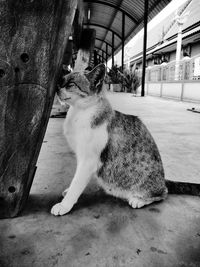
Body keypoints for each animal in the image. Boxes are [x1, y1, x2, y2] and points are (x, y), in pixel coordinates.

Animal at [50, 63, 200, 217]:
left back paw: (139, 200)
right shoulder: (81, 156)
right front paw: (68, 192)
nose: (57, 88)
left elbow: (77, 183)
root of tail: (163, 179)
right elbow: (75, 181)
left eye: (71, 84)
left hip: (150, 186)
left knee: (163, 193)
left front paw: (65, 204)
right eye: (61, 81)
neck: (79, 113)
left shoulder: (88, 160)